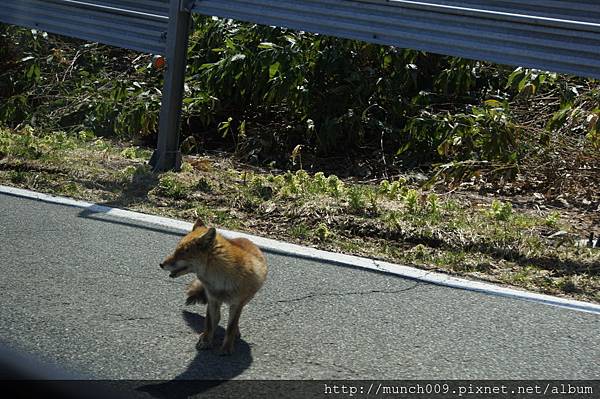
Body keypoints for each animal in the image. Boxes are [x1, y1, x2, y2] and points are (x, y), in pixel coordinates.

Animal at [159, 219, 268, 356]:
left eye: (181, 254)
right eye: (175, 251)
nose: (161, 264)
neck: (221, 280)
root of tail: (246, 239)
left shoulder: (237, 304)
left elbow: (231, 327)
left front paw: (226, 348)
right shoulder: (212, 299)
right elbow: (209, 323)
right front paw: (206, 341)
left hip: (245, 300)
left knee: (233, 322)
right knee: (216, 318)